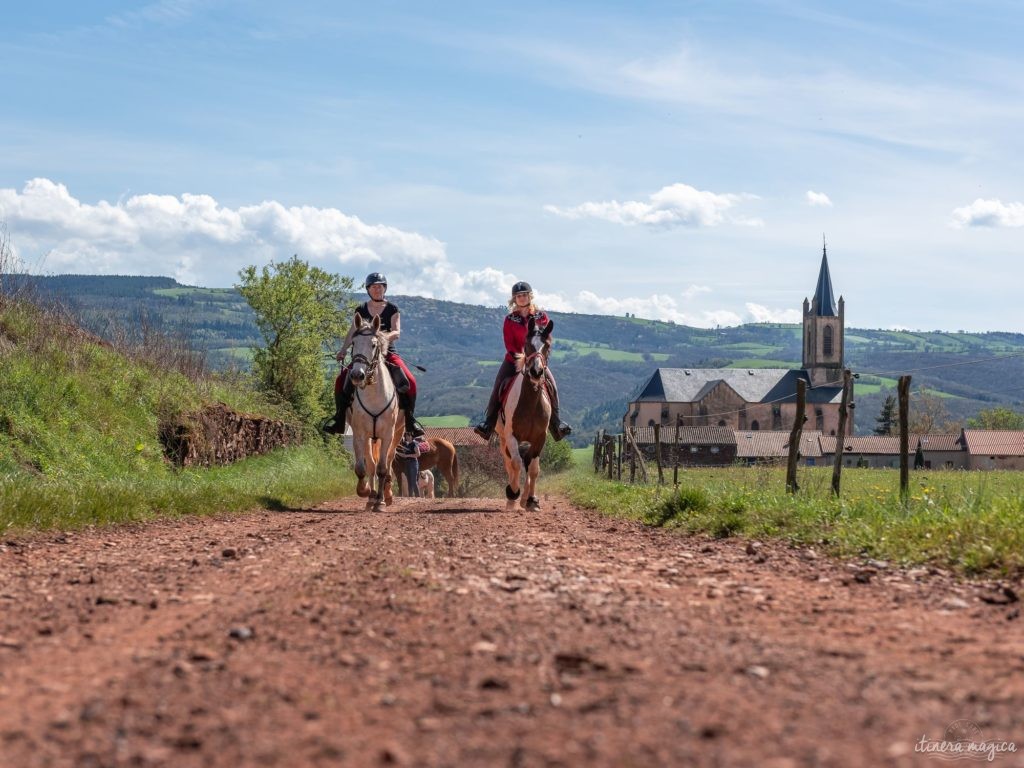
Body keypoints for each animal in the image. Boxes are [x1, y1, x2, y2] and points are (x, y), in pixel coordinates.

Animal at [348, 313, 403, 512]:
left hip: (397, 434)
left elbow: (382, 468)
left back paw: (386, 495)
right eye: (353, 343)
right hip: (370, 438)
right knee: (371, 464)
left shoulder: (387, 434)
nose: (357, 375)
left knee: (388, 462)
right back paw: (371, 497)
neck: (373, 394)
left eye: (373, 344)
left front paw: (380, 502)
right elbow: (362, 467)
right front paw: (365, 492)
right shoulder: (359, 434)